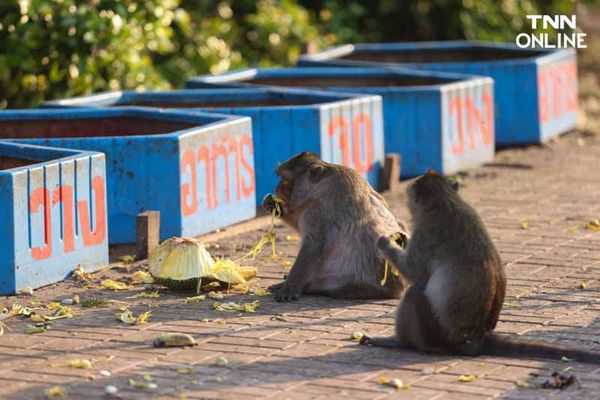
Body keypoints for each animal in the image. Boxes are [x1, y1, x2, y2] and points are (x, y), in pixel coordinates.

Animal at [264, 152, 410, 302]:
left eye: (285, 179)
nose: (277, 187)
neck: (320, 186)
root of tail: (399, 290)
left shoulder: (319, 210)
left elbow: (313, 246)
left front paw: (289, 288)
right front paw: (276, 207)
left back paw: (310, 287)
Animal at [358, 170, 600, 364]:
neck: (445, 200)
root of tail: (476, 339)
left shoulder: (427, 233)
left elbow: (415, 273)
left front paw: (384, 243)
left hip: (436, 336)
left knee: (415, 294)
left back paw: (400, 342)